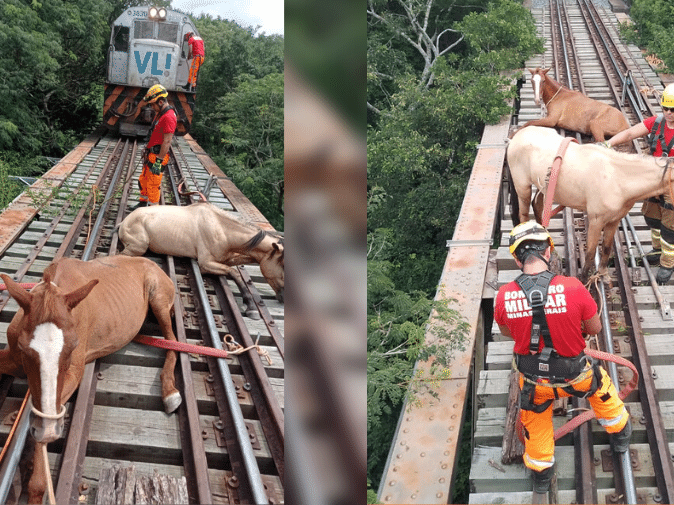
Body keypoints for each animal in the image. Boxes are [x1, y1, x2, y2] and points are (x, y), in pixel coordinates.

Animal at [0, 256, 181, 504]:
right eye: (23, 348)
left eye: (72, 347)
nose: (49, 432)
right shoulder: (13, 358)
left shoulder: (72, 374)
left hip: (159, 298)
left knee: (172, 340)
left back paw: (170, 392)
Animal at [117, 200, 282, 316]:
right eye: (283, 264)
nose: (282, 297)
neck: (221, 228)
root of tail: (123, 222)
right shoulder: (205, 263)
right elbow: (234, 273)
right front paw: (251, 307)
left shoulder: (226, 259)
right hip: (139, 246)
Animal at [506, 125, 672, 282]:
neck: (616, 178)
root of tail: (516, 137)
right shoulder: (596, 221)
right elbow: (591, 252)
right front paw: (584, 279)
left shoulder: (614, 220)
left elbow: (606, 247)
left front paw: (603, 274)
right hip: (523, 187)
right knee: (523, 214)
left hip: (544, 187)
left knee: (538, 205)